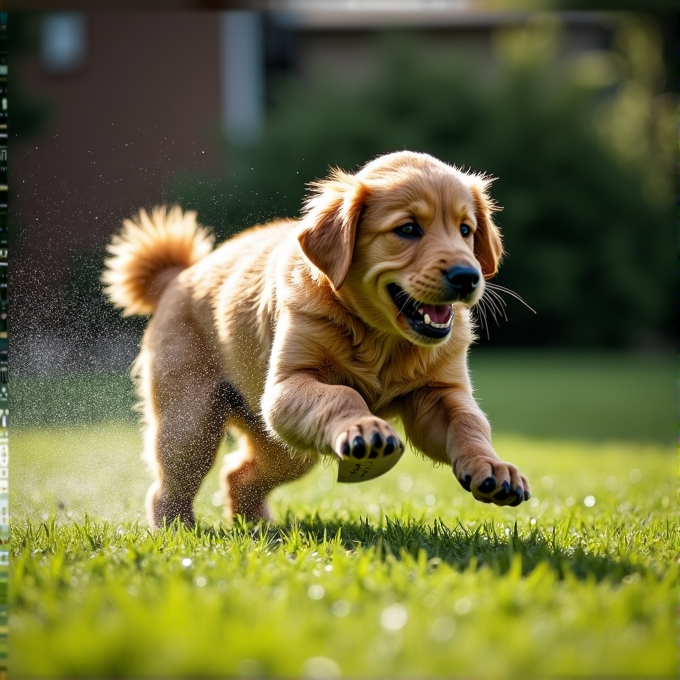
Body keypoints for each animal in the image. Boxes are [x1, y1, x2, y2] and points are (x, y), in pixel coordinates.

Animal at [103, 151, 532, 528]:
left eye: (465, 230)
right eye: (408, 229)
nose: (468, 277)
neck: (381, 339)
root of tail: (178, 275)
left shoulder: (439, 394)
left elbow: (469, 424)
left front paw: (493, 467)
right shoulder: (287, 386)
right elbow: (343, 395)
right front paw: (364, 428)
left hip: (283, 446)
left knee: (238, 475)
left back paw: (258, 528)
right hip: (190, 424)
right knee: (168, 486)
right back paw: (176, 530)